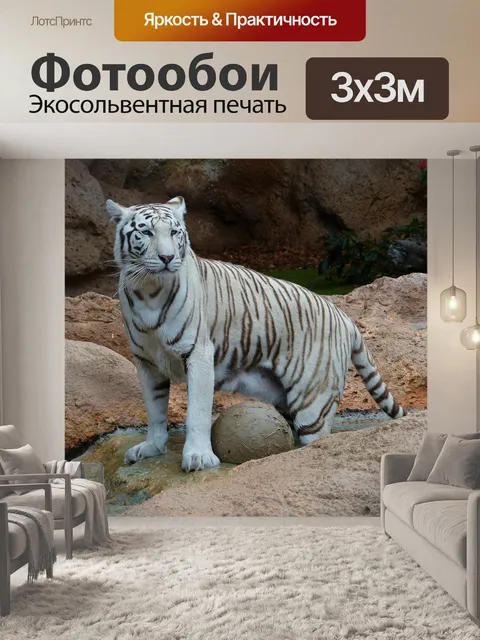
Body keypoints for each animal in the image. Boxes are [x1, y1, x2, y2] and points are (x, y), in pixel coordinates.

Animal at [105, 196, 405, 473]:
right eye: (146, 232)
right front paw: (151, 447)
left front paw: (199, 457)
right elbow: (154, 409)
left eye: (174, 232)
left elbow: (197, 411)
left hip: (313, 400)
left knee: (317, 440)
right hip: (282, 396)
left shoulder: (198, 352)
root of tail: (344, 316)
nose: (167, 258)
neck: (149, 291)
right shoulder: (146, 361)